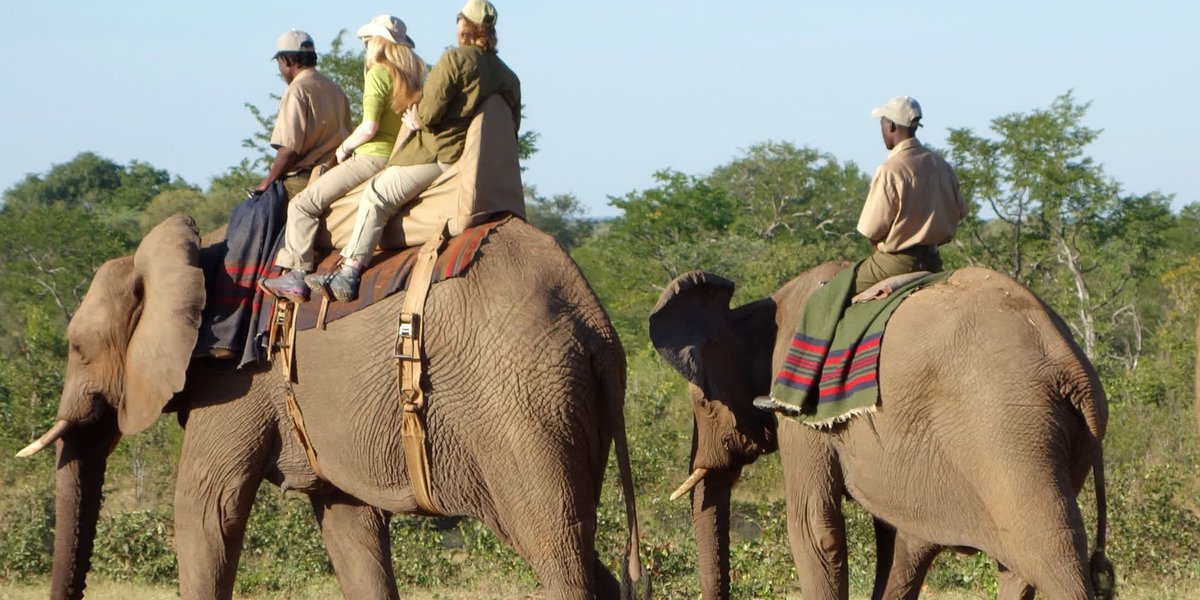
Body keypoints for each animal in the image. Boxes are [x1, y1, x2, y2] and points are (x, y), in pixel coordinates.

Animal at [21, 214, 645, 600]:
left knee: (558, 553)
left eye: (77, 348)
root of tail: (596, 323)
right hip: (557, 403)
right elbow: (350, 524)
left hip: (520, 404)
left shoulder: (237, 377)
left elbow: (206, 506)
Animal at [648, 262, 1112, 600]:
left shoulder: (797, 402)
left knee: (1050, 553)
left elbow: (814, 528)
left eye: (702, 403)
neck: (761, 309)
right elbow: (892, 538)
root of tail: (1071, 365)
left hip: (1008, 431)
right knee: (1010, 568)